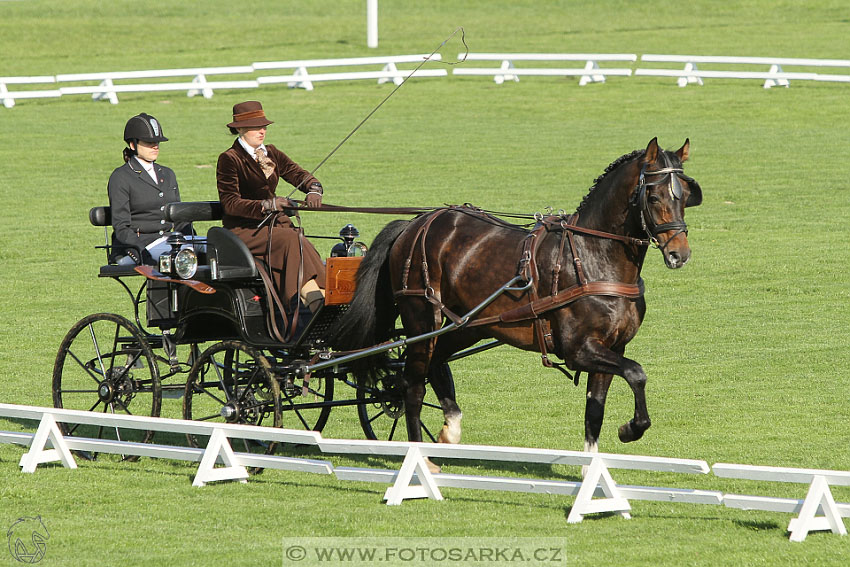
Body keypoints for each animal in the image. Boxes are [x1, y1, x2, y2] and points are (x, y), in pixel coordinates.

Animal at [332, 139, 704, 466]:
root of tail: (415, 223)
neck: (592, 257)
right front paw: (631, 429)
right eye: (653, 196)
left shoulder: (613, 347)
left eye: (685, 196)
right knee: (412, 385)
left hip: (465, 326)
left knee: (435, 367)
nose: (679, 253)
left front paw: (592, 471)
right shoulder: (579, 350)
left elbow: (595, 411)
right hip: (423, 320)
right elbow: (637, 374)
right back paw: (419, 457)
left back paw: (450, 429)